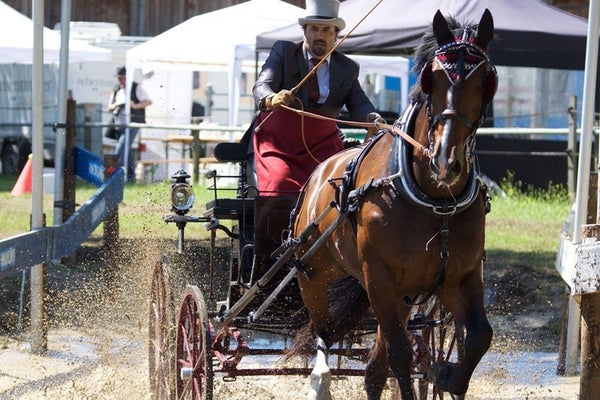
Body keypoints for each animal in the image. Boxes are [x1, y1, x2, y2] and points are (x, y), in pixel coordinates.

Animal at [290, 7, 496, 400]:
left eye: (486, 81)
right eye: (432, 78)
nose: (445, 161)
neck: (435, 203)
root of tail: (320, 170)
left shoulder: (459, 277)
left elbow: (479, 336)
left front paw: (447, 375)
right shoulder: (379, 278)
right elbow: (401, 355)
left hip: (402, 296)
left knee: (373, 369)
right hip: (314, 274)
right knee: (324, 332)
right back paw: (320, 380)